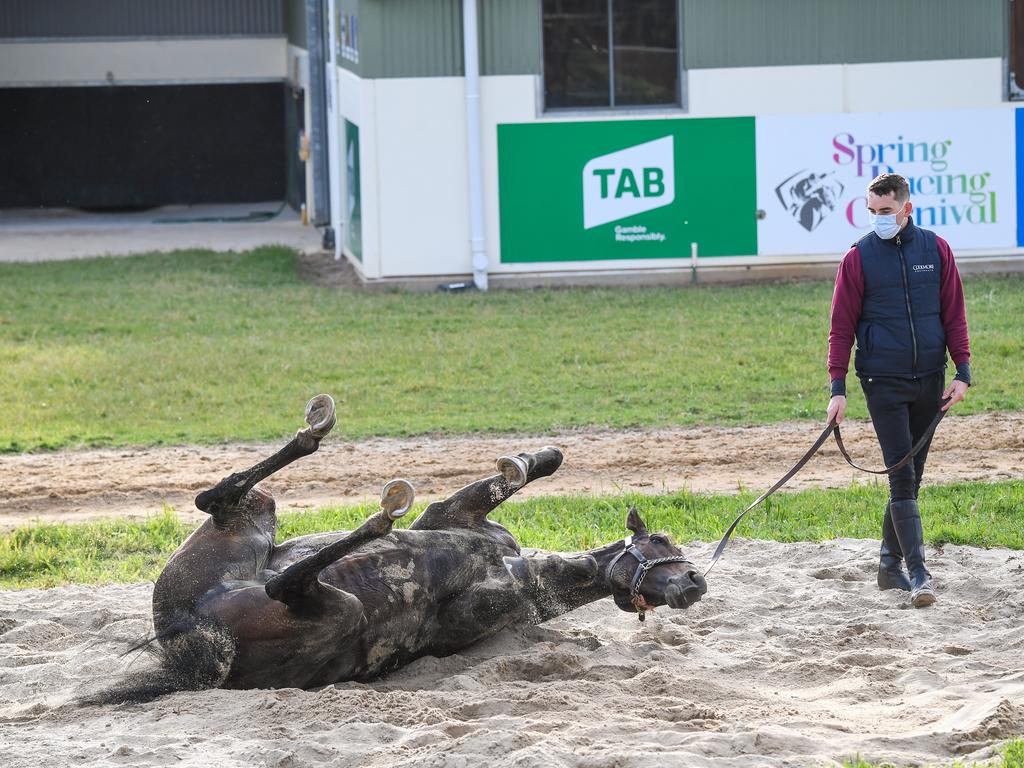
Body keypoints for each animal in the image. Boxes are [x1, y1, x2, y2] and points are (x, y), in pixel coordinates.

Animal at [92, 397, 708, 704]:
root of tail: (190, 636)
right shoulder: (455, 516)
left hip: (332, 604)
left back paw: (381, 512)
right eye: (660, 540)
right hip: (252, 526)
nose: (696, 582)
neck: (521, 568)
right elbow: (533, 467)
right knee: (221, 498)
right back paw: (326, 438)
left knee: (280, 573)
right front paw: (521, 462)